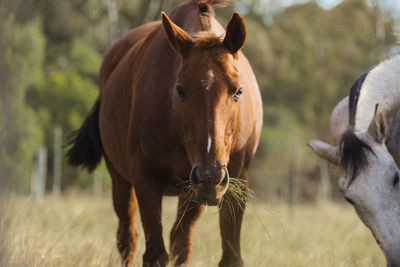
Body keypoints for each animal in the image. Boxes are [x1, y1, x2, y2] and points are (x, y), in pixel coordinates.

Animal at [67, 1, 260, 266]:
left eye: (239, 90)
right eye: (180, 89)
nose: (210, 175)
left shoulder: (235, 183)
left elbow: (228, 256)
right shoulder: (146, 179)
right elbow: (155, 254)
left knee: (180, 240)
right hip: (121, 180)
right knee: (127, 237)